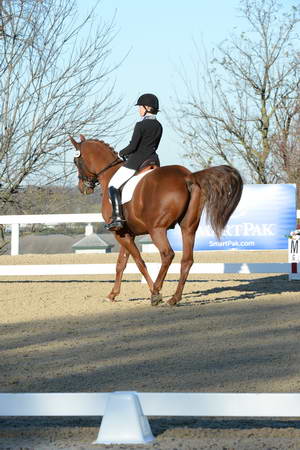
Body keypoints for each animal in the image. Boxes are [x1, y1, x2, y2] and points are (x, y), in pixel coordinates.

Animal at [69, 134, 243, 306]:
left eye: (76, 161)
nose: (83, 188)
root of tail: (187, 176)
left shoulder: (120, 234)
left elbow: (139, 262)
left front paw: (154, 291)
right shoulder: (126, 233)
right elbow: (121, 264)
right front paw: (112, 295)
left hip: (157, 230)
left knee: (167, 255)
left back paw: (157, 293)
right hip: (188, 227)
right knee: (187, 260)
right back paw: (174, 298)